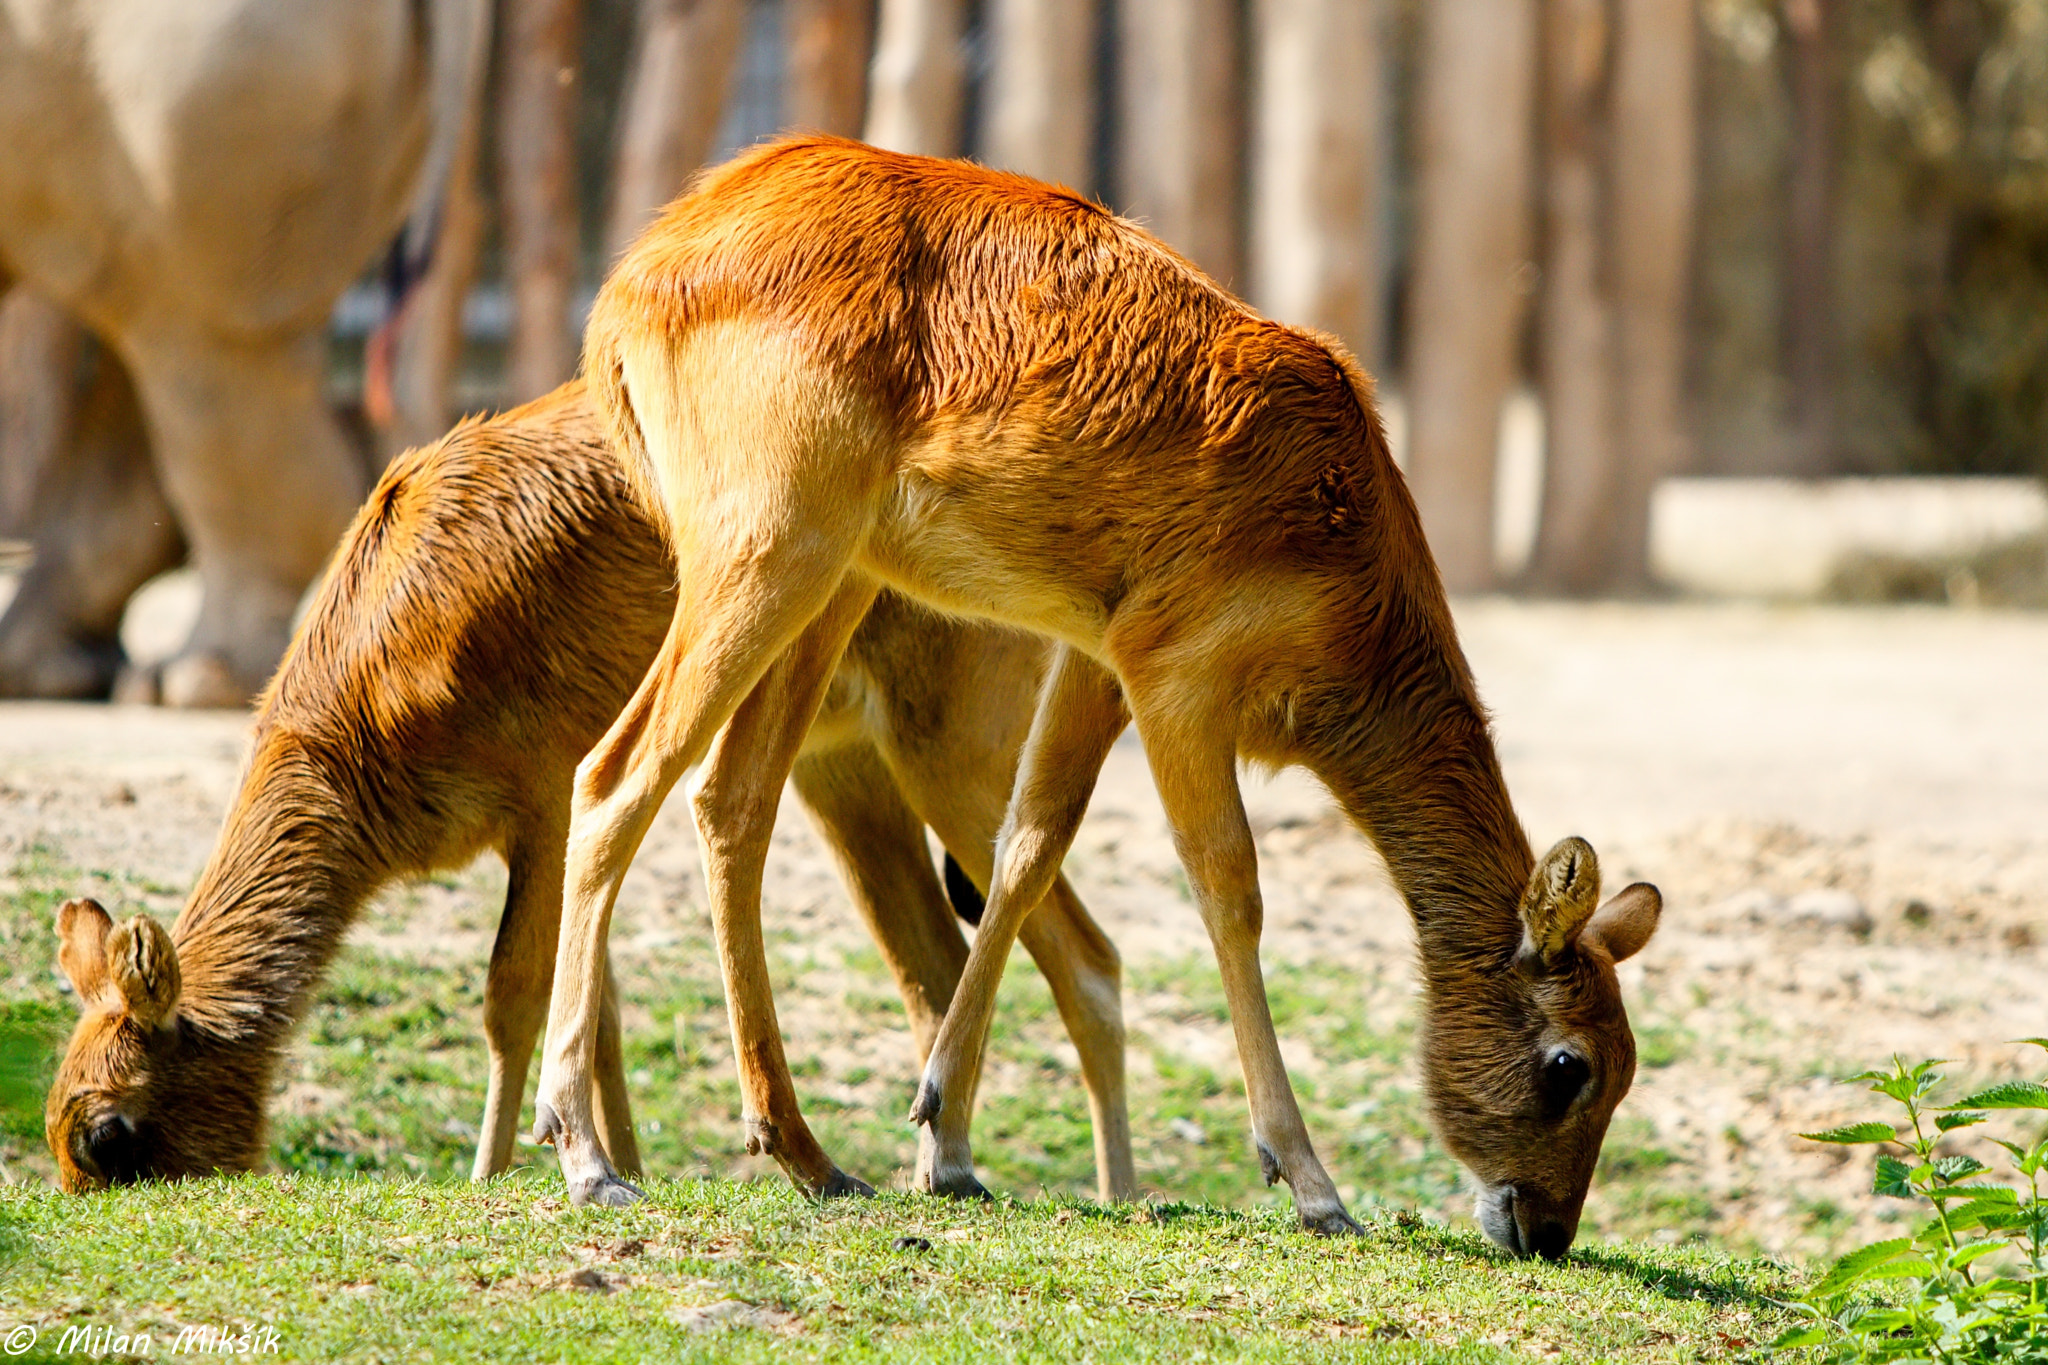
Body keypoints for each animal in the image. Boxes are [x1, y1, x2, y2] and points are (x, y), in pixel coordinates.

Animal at [44, 378, 1138, 1203]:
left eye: (108, 1133)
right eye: (57, 1131)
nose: (84, 1184)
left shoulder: (544, 796)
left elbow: (515, 994)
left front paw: (497, 1173)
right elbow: (601, 1004)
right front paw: (622, 1165)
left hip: (953, 741)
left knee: (1085, 951)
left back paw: (1104, 1190)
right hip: (847, 769)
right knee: (935, 966)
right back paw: (935, 1168)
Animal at [532, 139, 1662, 1260]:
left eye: (1627, 1060)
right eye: (1570, 1063)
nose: (1545, 1229)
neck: (1346, 544)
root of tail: (642, 271)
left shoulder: (1097, 660)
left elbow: (1026, 850)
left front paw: (944, 1143)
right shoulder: (1179, 679)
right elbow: (1229, 888)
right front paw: (1309, 1182)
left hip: (831, 583)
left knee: (732, 800)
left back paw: (809, 1154)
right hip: (766, 553)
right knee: (612, 777)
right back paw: (586, 1156)